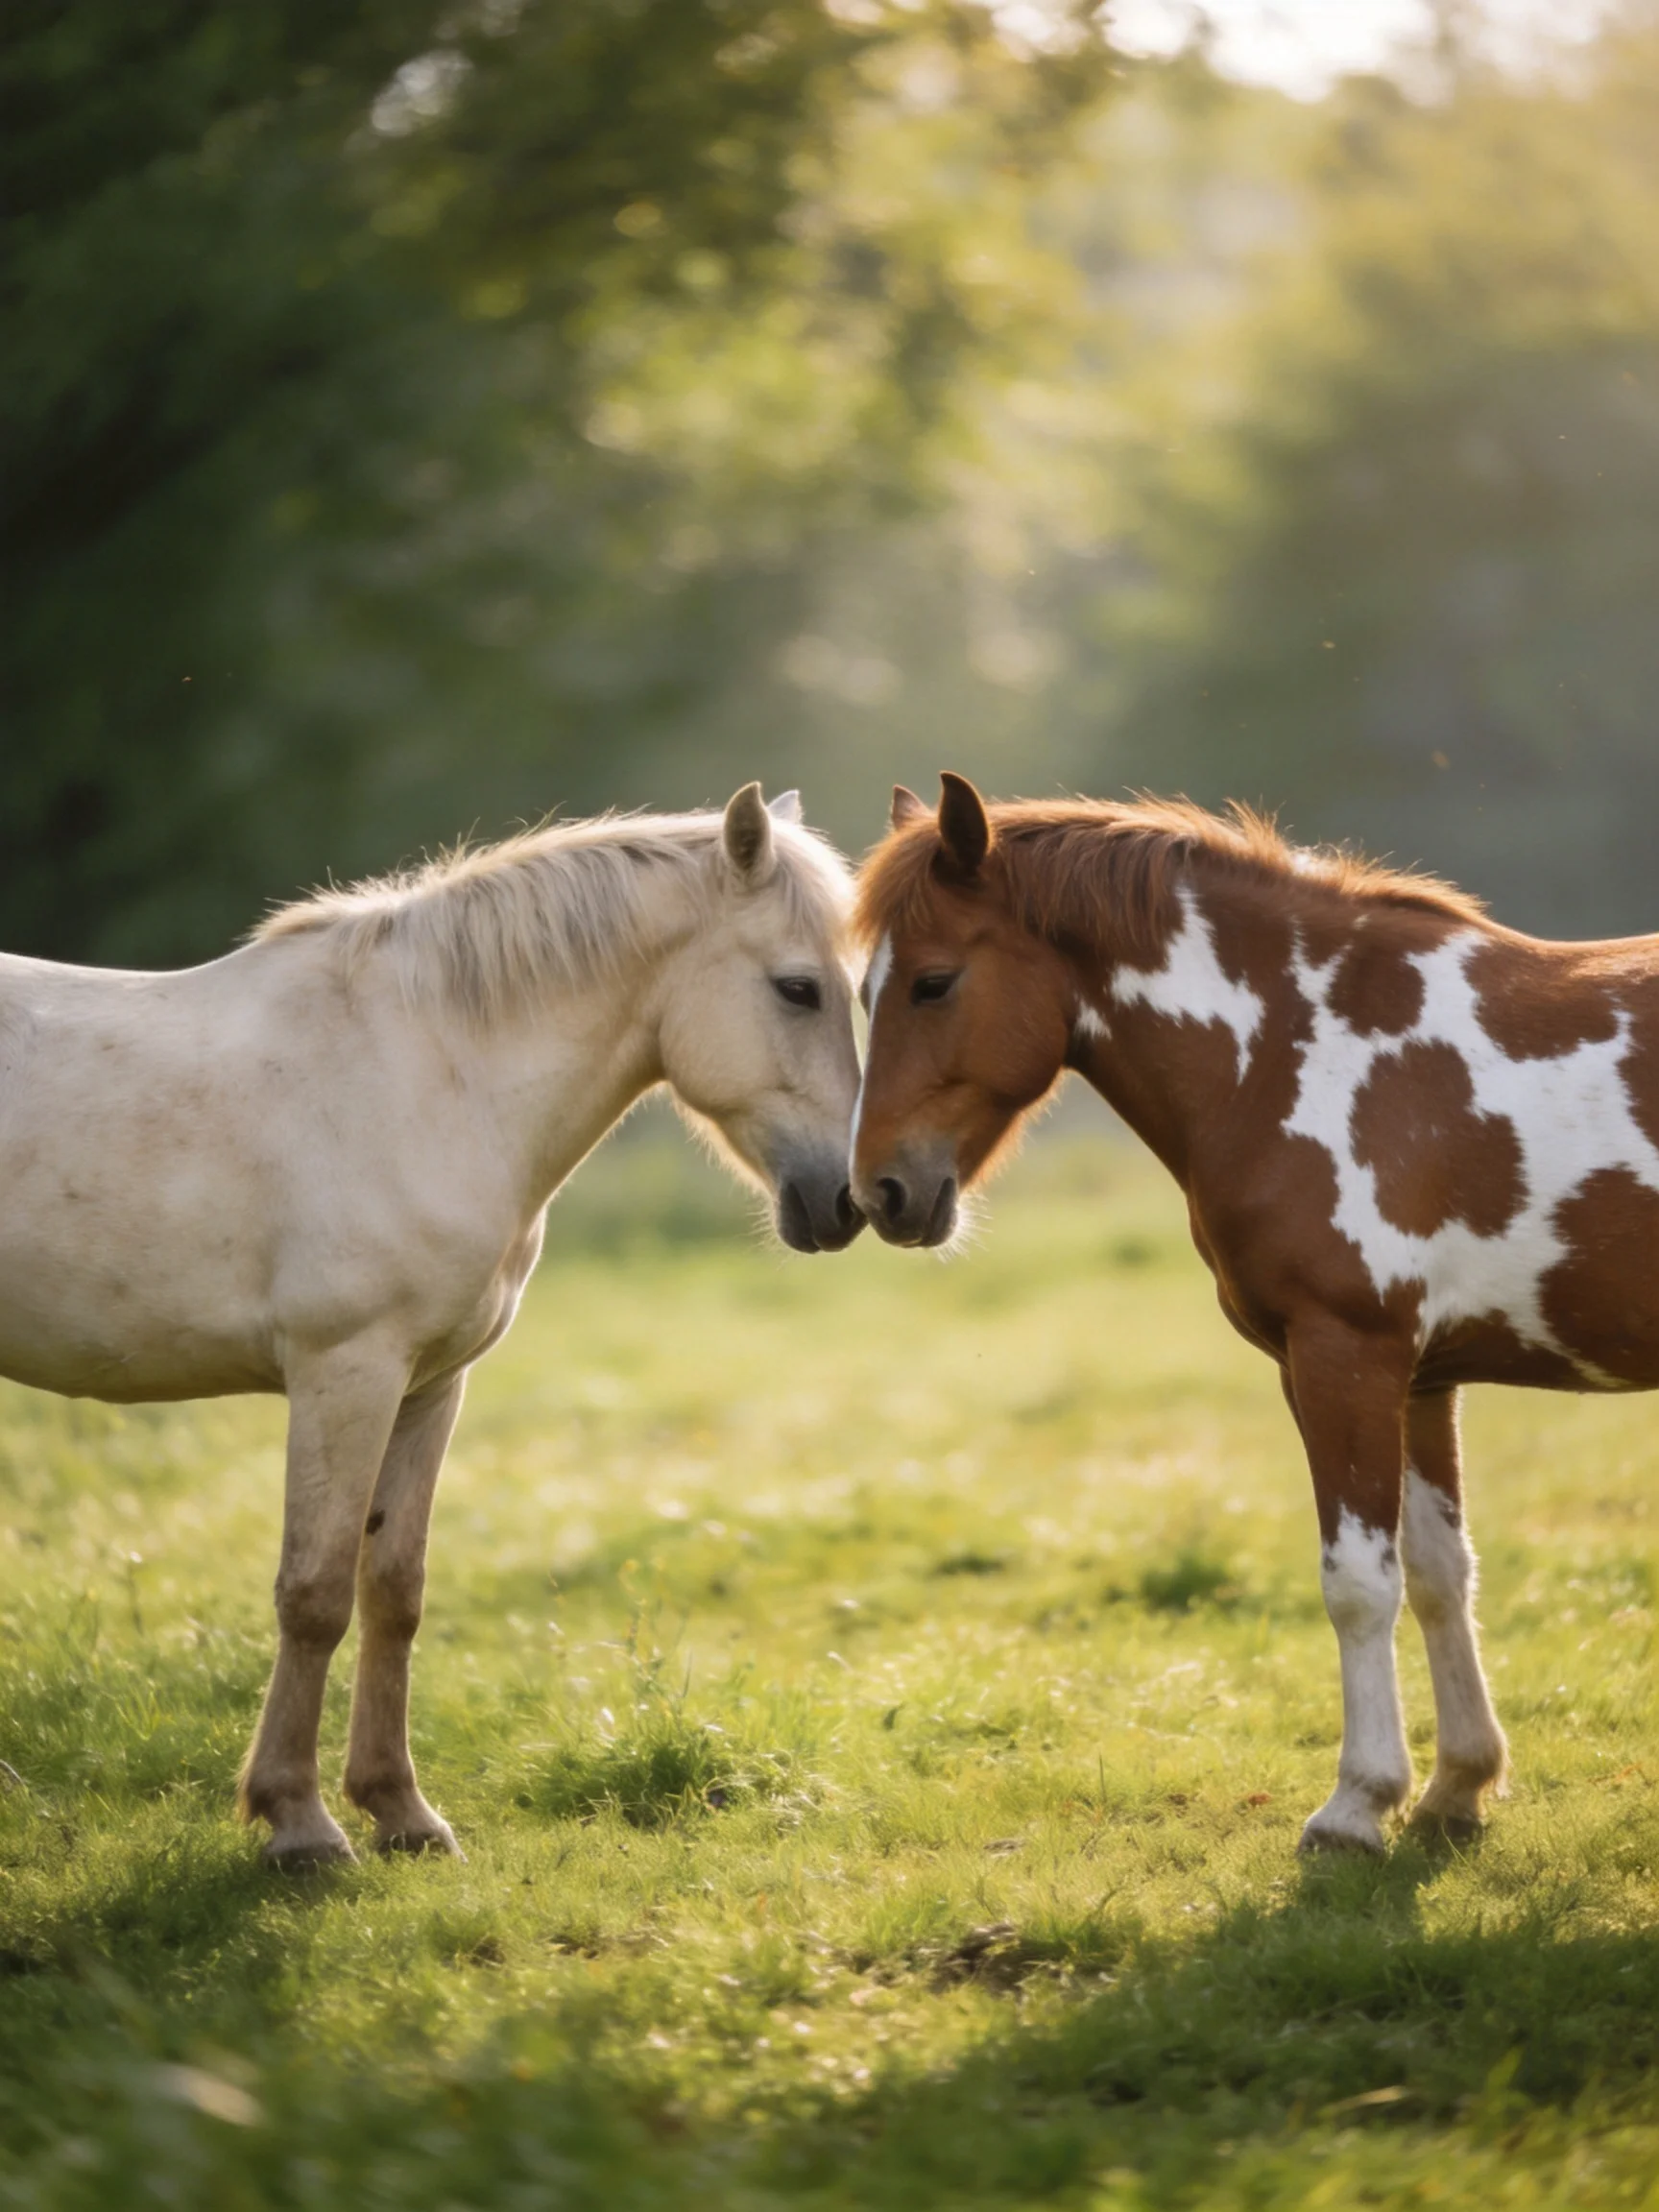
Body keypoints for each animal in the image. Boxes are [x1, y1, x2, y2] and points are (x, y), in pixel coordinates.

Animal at [0, 785, 863, 1865]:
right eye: (798, 990)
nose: (850, 1200)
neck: (431, 1076)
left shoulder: (429, 1386)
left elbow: (393, 1591)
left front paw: (400, 1811)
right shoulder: (346, 1374)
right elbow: (316, 1592)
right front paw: (300, 1824)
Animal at [851, 773, 1659, 1853]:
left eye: (933, 983)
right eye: (865, 989)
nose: (879, 1191)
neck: (1298, 1051)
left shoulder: (1343, 1356)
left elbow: (1359, 1585)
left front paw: (1357, 1804)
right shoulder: (1421, 1378)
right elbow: (1440, 1574)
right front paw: (1458, 1785)